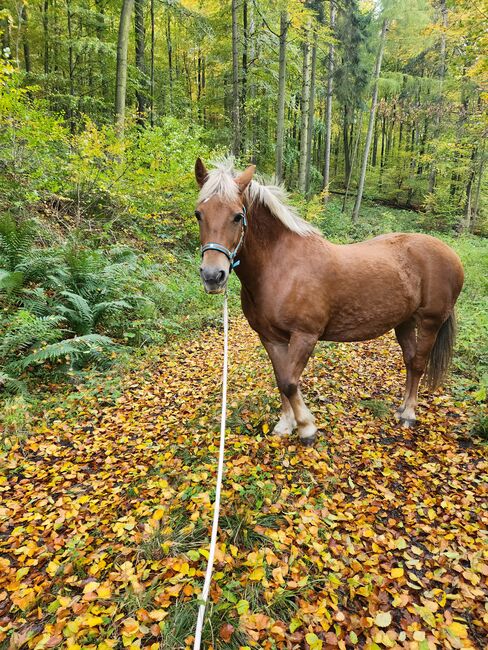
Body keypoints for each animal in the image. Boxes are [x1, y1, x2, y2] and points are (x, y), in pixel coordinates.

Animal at [194, 159, 466, 442]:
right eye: (198, 214)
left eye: (238, 216)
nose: (213, 276)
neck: (281, 266)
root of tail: (450, 253)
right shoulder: (270, 338)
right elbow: (281, 379)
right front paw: (285, 425)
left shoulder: (305, 336)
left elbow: (290, 382)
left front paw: (306, 427)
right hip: (404, 322)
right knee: (411, 362)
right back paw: (402, 409)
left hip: (430, 322)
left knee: (420, 363)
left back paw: (410, 414)